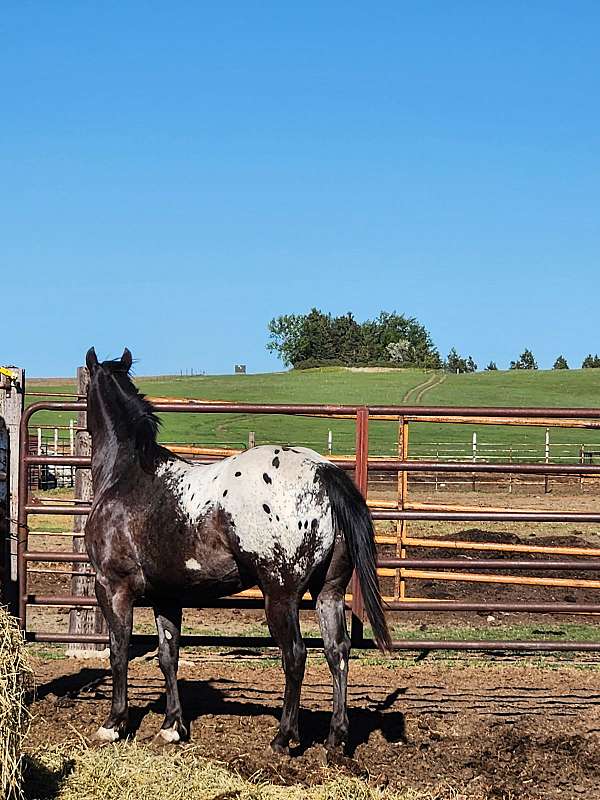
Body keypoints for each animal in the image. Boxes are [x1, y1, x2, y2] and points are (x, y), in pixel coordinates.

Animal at [83, 347, 391, 753]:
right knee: (337, 652)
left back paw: (283, 738)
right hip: (328, 592)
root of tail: (323, 473)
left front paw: (113, 724)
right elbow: (168, 657)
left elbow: (118, 652)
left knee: (295, 656)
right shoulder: (167, 596)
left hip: (280, 596)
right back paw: (335, 737)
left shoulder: (113, 587)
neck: (129, 473)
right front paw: (171, 726)